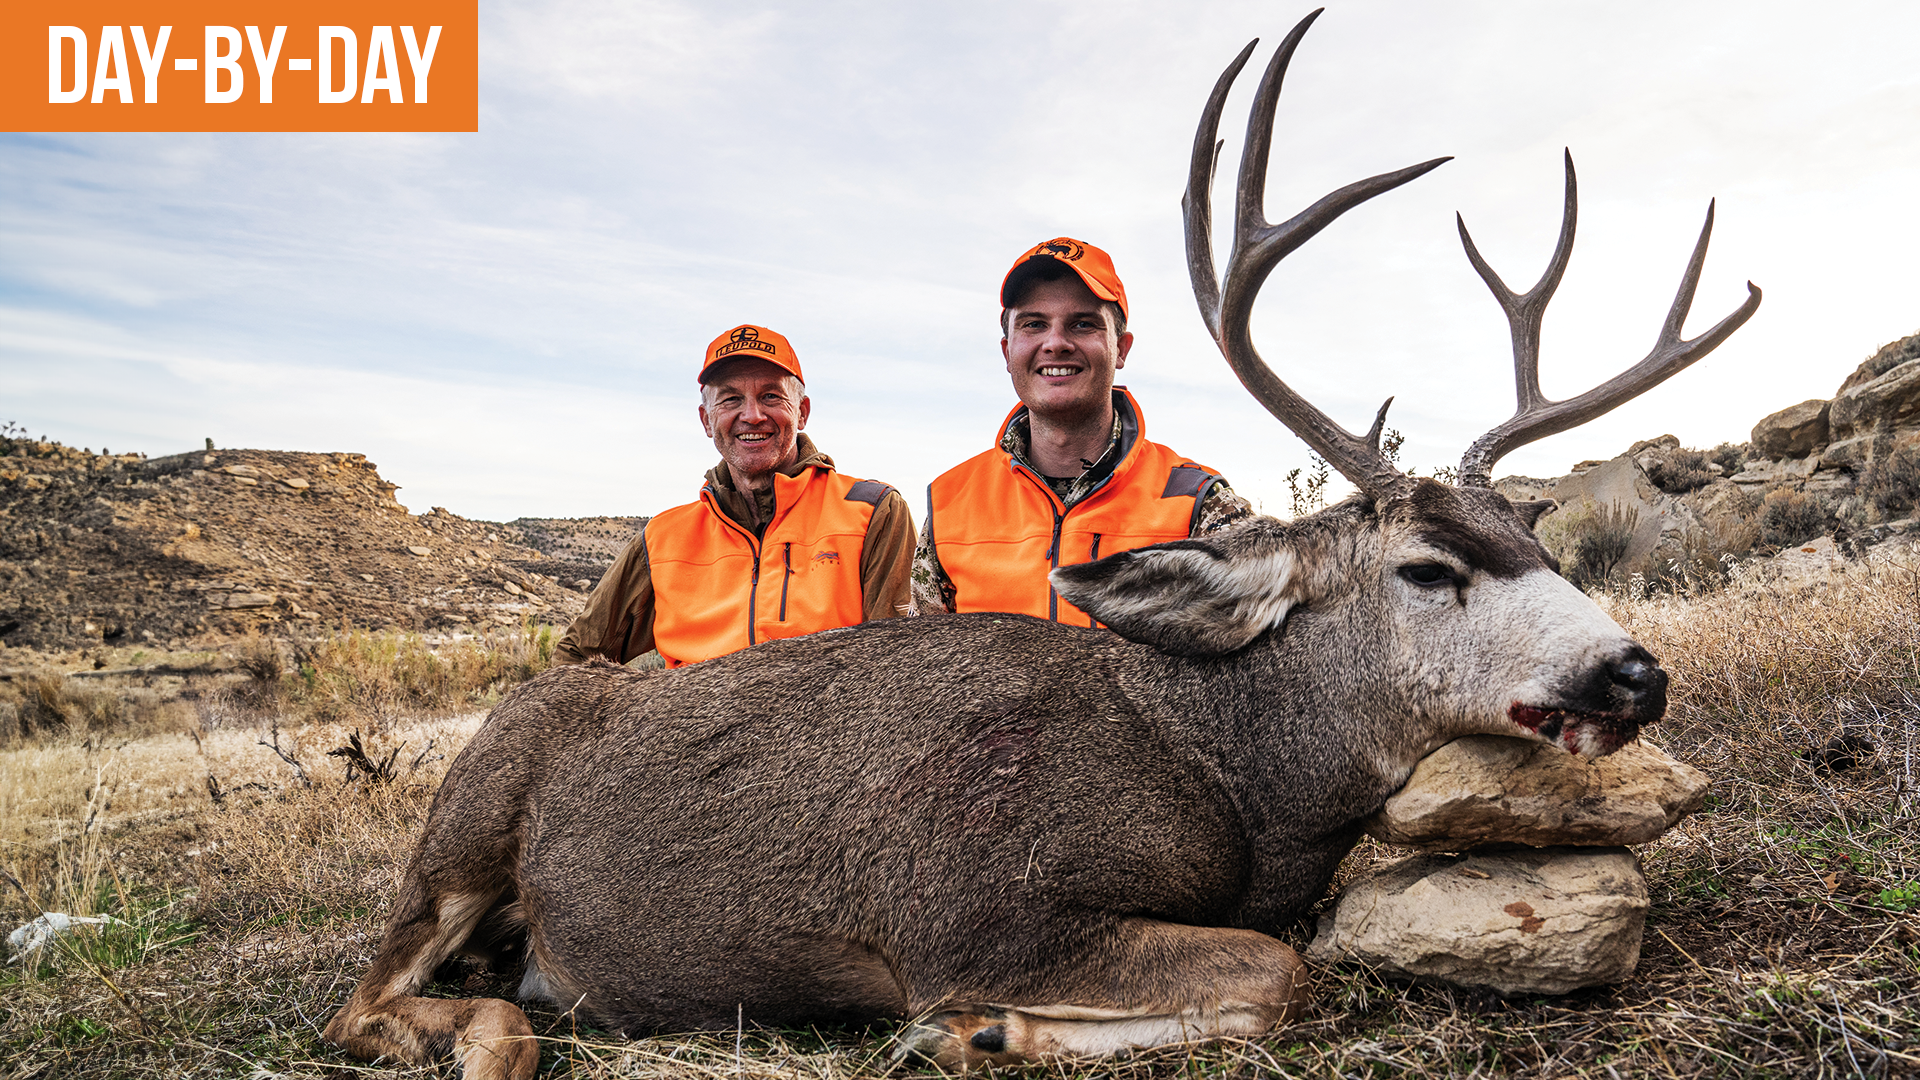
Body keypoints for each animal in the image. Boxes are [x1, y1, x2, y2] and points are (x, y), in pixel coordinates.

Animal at [322, 9, 1759, 1077]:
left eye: (1539, 537)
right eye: (1427, 569)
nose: (1636, 672)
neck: (1225, 772)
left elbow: (1273, 964)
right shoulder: (970, 906)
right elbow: (1275, 972)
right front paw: (978, 1031)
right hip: (466, 819)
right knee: (361, 1003)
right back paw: (497, 1029)